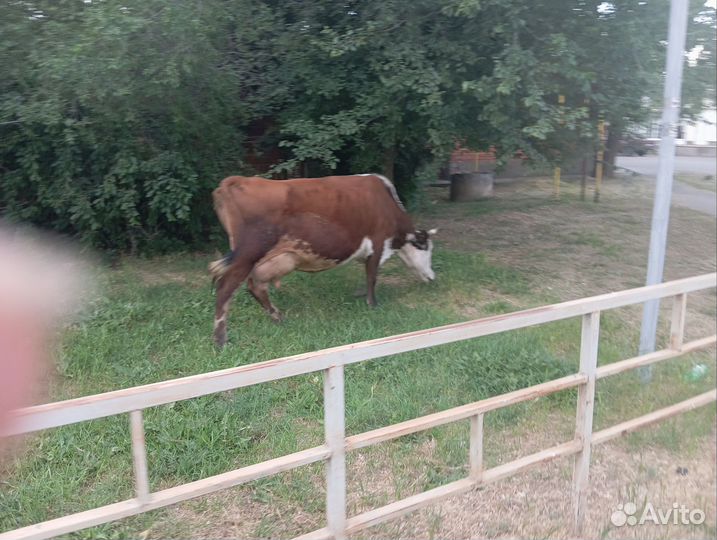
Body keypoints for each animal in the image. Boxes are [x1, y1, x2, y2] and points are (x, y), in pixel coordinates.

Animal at [208, 173, 437, 348]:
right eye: (427, 248)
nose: (432, 277)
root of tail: (235, 180)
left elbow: (366, 275)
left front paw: (361, 295)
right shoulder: (378, 243)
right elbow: (372, 276)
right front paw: (373, 304)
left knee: (256, 286)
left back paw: (277, 317)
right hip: (246, 255)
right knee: (225, 289)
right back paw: (221, 341)